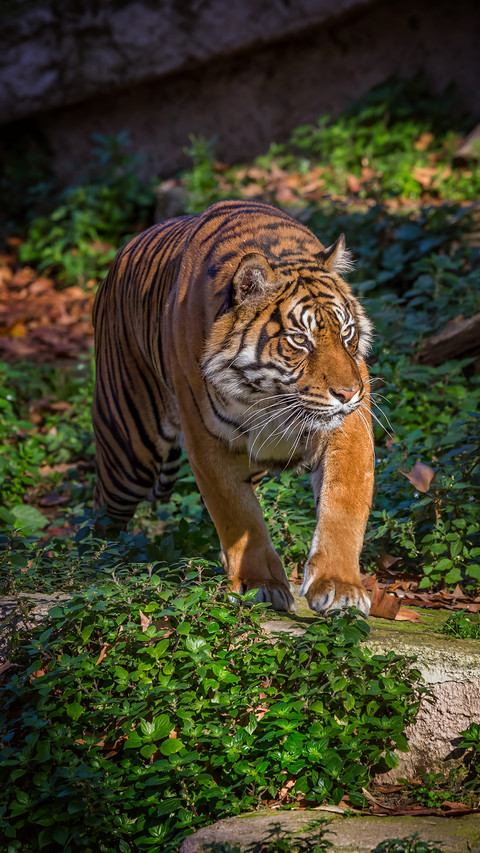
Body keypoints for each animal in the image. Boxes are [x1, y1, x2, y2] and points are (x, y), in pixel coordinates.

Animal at [92, 199, 374, 615]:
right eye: (300, 340)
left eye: (347, 332)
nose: (349, 392)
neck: (269, 397)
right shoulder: (207, 442)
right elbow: (238, 514)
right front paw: (259, 584)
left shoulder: (349, 429)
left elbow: (343, 505)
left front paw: (340, 587)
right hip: (128, 452)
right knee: (102, 513)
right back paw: (95, 569)